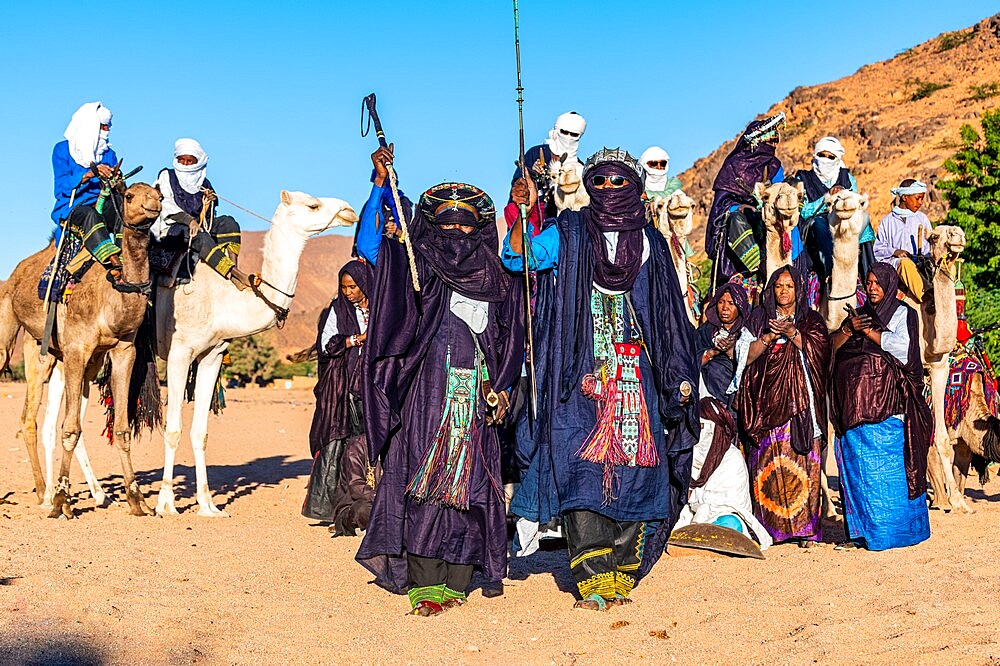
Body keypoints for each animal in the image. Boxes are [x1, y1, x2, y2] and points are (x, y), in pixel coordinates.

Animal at [0, 182, 162, 520]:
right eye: (129, 195)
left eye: (160, 195)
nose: (153, 204)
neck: (111, 294)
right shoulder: (76, 349)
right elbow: (70, 428)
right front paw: (62, 502)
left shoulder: (122, 351)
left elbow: (121, 429)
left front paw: (137, 500)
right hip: (18, 339)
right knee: (32, 418)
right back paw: (47, 494)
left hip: (56, 355)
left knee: (32, 419)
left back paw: (47, 492)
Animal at [154, 189, 358, 516]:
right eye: (313, 205)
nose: (348, 210)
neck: (221, 299)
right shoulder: (179, 353)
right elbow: (172, 429)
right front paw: (167, 505)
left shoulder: (211, 355)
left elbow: (200, 433)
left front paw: (208, 506)